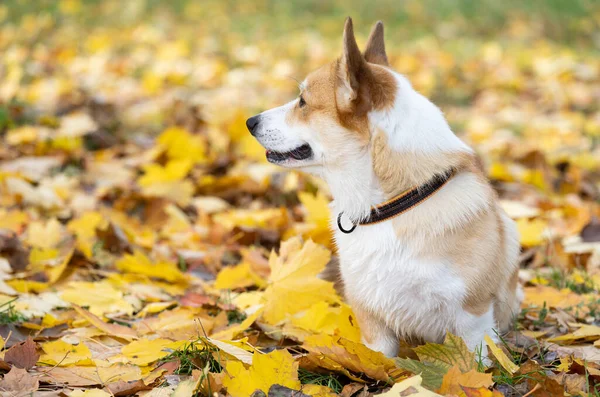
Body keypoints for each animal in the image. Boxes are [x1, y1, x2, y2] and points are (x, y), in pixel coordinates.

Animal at [246, 18, 524, 358]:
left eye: (302, 102)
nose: (250, 122)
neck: (391, 206)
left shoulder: (474, 318)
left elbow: (475, 360)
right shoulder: (373, 322)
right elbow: (379, 361)